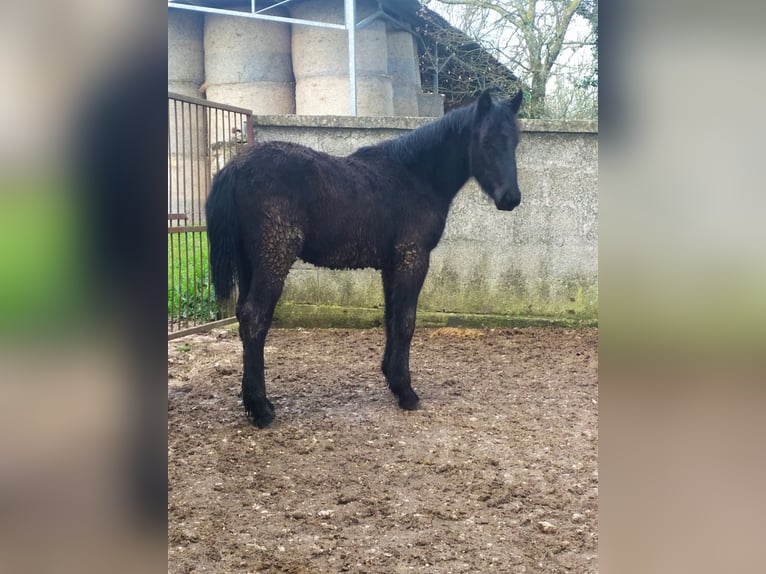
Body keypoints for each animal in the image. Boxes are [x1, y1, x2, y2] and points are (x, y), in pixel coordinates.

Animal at [205, 88, 524, 427]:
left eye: (515, 142)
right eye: (486, 140)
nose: (511, 198)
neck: (414, 176)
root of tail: (235, 167)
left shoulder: (392, 264)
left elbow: (391, 317)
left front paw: (393, 380)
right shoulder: (414, 258)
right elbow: (406, 321)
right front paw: (406, 392)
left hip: (249, 264)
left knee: (243, 316)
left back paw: (255, 402)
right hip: (273, 258)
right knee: (255, 318)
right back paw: (261, 410)